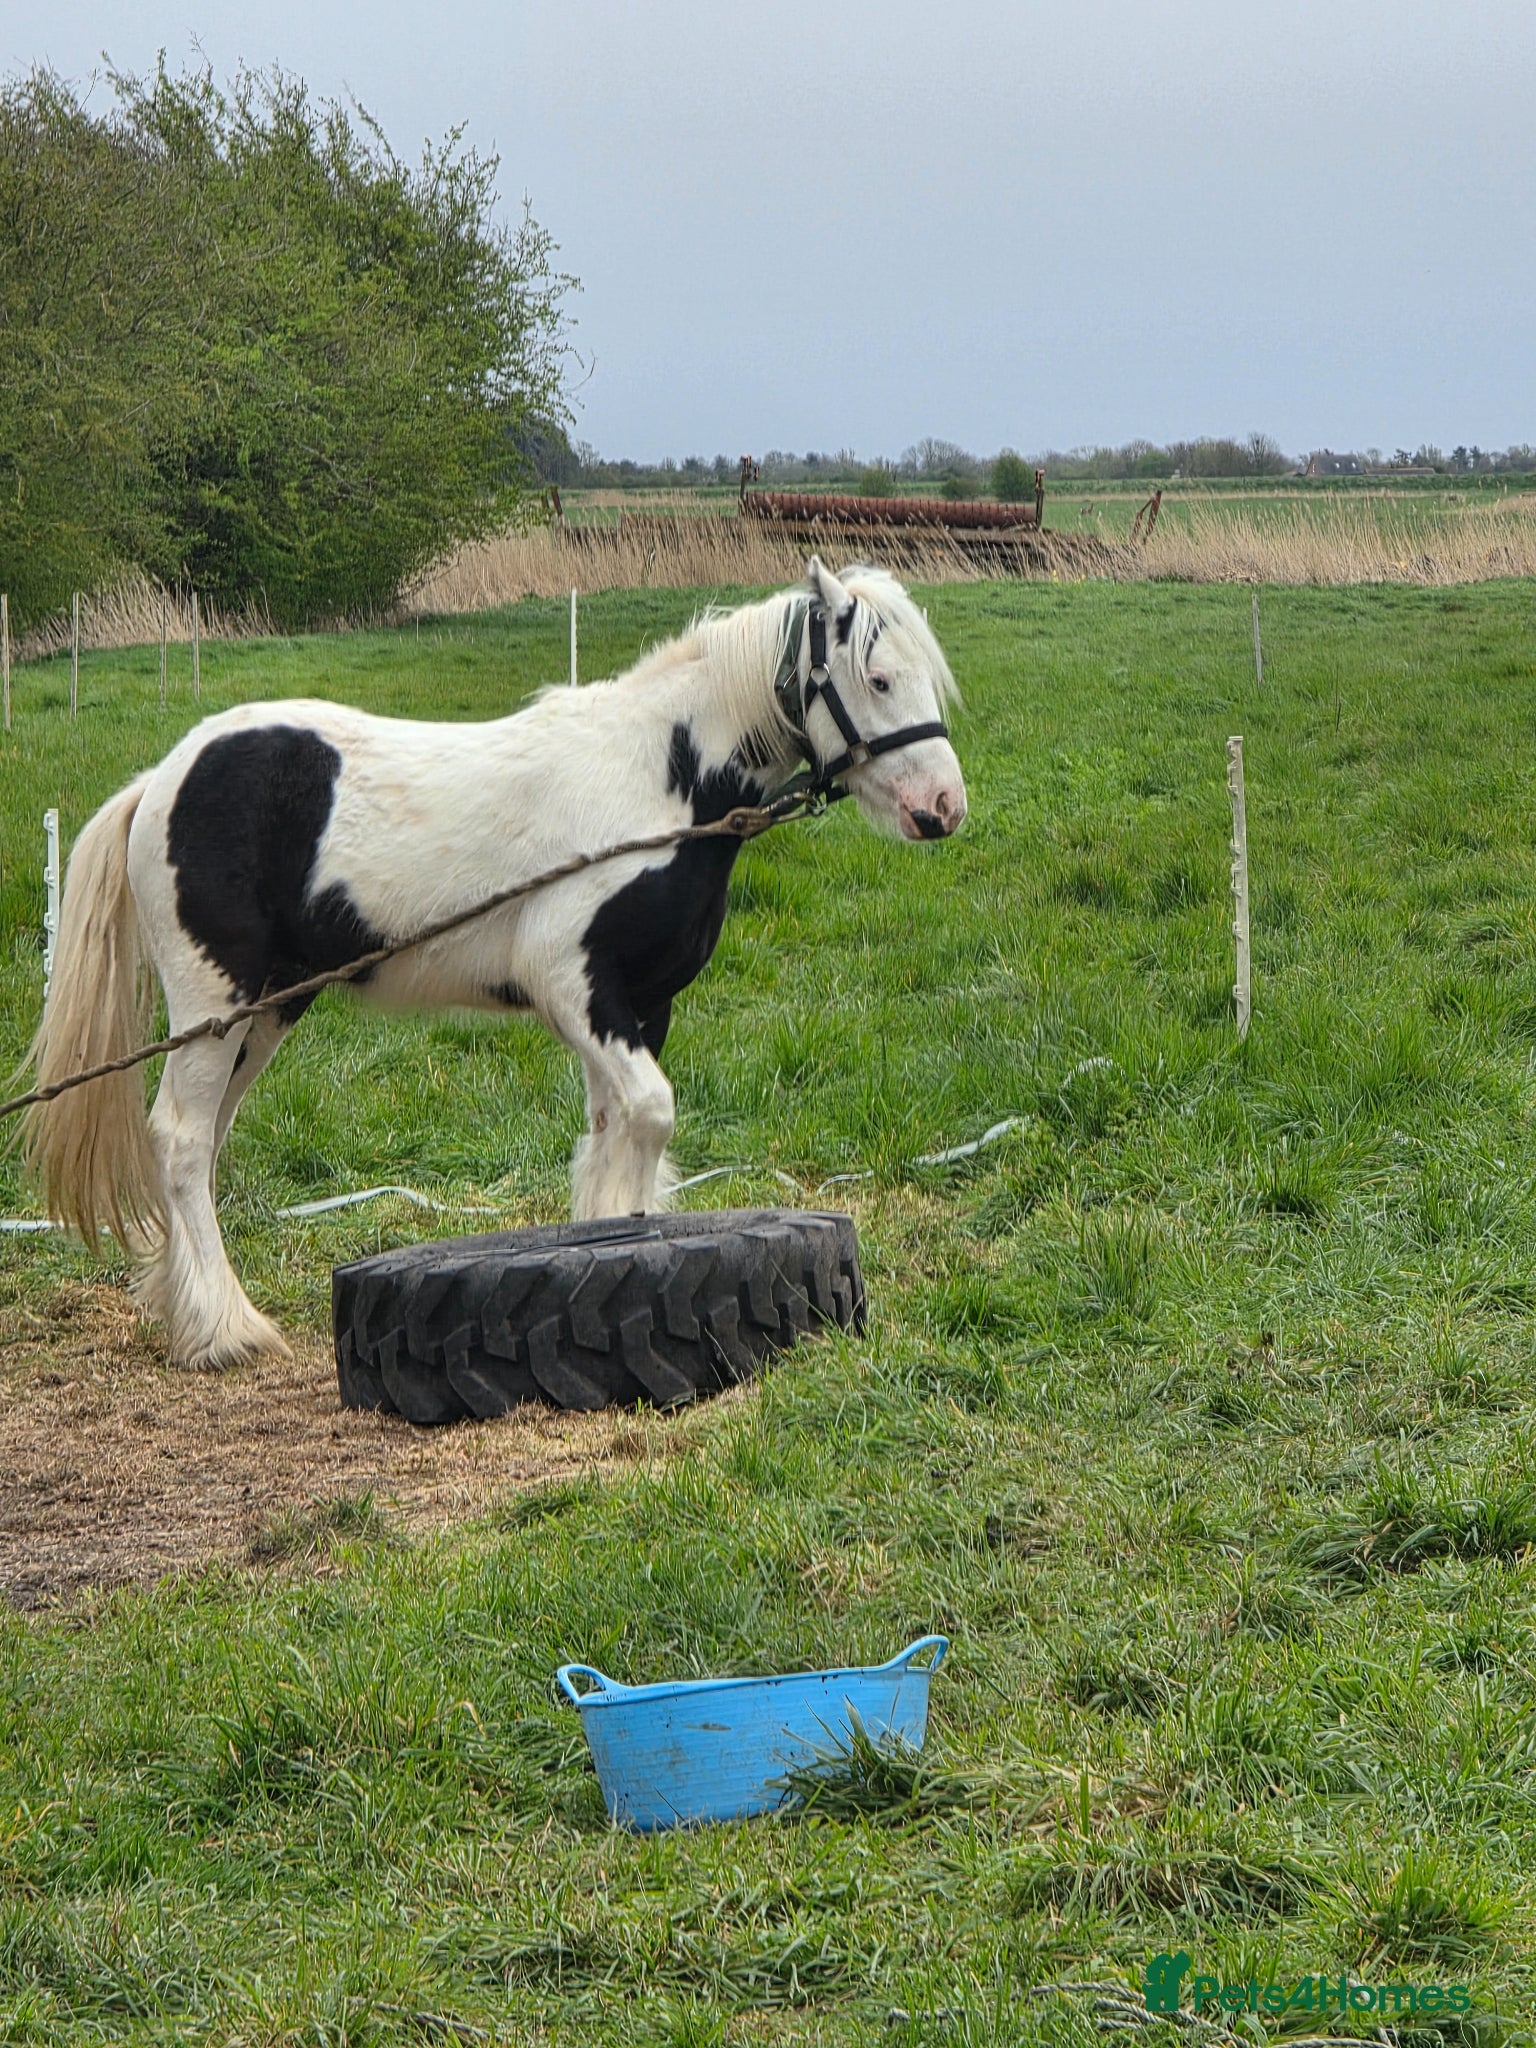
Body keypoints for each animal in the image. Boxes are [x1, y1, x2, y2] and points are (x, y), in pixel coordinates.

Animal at [22, 558, 966, 1370]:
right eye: (879, 680)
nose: (944, 809)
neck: (658, 783)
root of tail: (160, 778)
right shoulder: (573, 986)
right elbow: (650, 1115)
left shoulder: (638, 1006)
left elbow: (615, 1141)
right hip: (213, 1004)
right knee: (180, 1141)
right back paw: (223, 1330)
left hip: (268, 1012)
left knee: (202, 1140)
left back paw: (184, 1311)